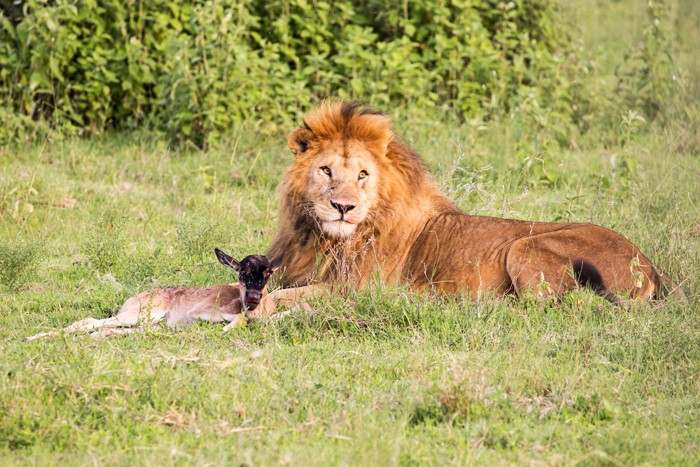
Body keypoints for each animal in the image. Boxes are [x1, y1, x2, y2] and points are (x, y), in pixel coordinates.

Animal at [25, 249, 282, 340]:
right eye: (242, 272)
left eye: (268, 272)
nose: (253, 298)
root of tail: (135, 297)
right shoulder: (198, 312)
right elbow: (237, 319)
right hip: (143, 315)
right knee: (88, 320)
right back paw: (30, 338)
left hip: (146, 321)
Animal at [260, 100, 680, 312]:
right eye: (326, 170)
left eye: (363, 174)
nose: (342, 207)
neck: (323, 238)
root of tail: (650, 263)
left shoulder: (355, 287)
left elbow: (280, 298)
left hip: (524, 246)